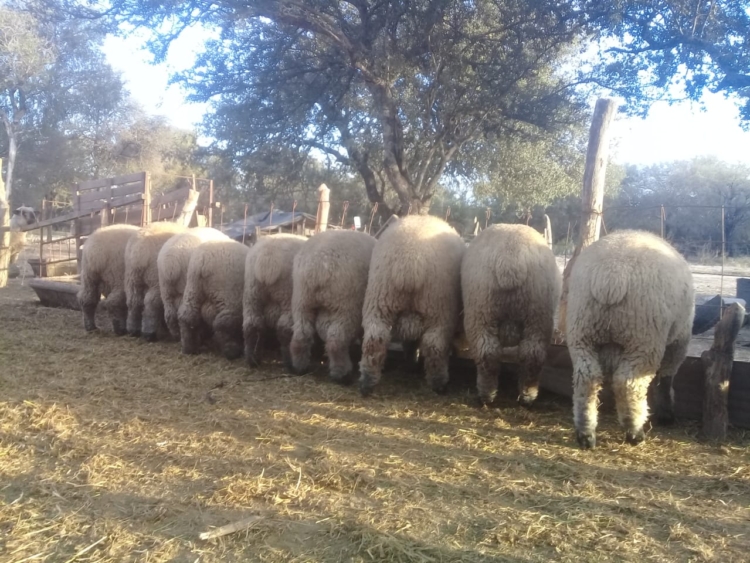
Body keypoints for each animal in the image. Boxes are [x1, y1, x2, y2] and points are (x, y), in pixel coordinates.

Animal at [243, 233, 307, 369]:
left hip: (252, 294)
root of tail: (268, 255)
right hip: (287, 296)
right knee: (284, 328)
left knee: (252, 325)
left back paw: (253, 360)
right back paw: (289, 363)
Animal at [290, 230, 376, 382]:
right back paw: (341, 374)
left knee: (301, 334)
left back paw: (299, 367)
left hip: (301, 301)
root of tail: (317, 265)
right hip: (346, 306)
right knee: (336, 341)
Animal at [359, 215, 465, 397]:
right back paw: (439, 383)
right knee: (434, 345)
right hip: (439, 309)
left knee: (375, 339)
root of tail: (410, 259)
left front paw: (411, 361)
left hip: (379, 299)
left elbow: (410, 341)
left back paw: (367, 382)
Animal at [461, 224, 561, 407]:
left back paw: (495, 396)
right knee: (528, 354)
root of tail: (510, 258)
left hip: (485, 310)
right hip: (535, 315)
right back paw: (522, 396)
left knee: (491, 353)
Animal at [565, 230, 694, 449]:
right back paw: (634, 432)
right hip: (643, 339)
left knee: (587, 379)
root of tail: (611, 275)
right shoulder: (679, 341)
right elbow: (666, 378)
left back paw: (586, 433)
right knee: (628, 384)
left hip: (581, 332)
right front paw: (666, 413)